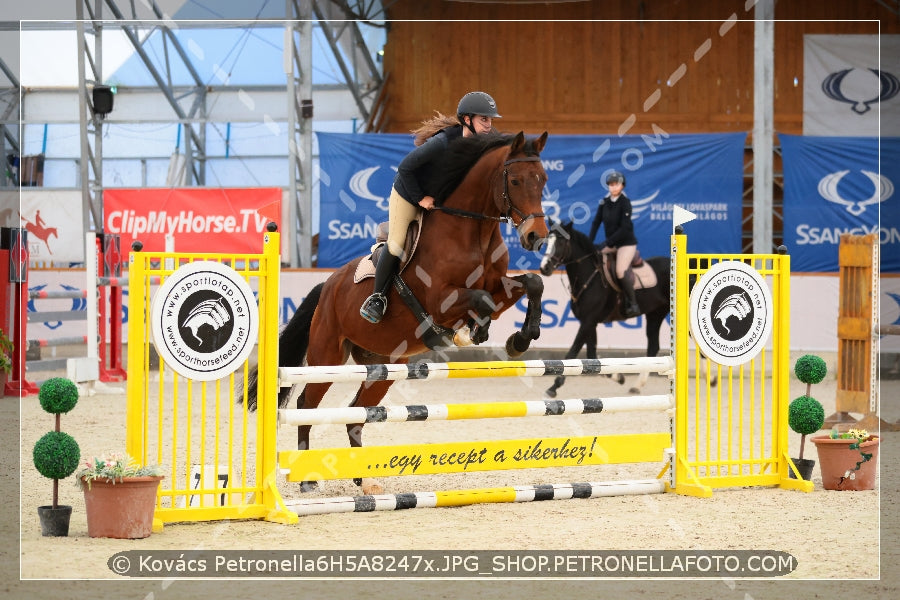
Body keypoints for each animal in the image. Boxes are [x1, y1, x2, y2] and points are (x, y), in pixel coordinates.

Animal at [244, 130, 548, 492]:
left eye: (543, 180)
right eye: (515, 180)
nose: (536, 237)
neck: (474, 233)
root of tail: (327, 286)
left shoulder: (500, 286)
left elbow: (531, 284)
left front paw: (520, 339)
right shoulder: (441, 299)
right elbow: (482, 300)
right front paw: (474, 332)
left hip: (383, 367)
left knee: (357, 413)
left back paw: (364, 481)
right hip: (327, 356)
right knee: (308, 405)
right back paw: (308, 481)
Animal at [536, 220, 672, 398]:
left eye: (561, 242)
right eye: (547, 242)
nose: (544, 268)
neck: (589, 278)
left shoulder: (588, 322)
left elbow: (572, 354)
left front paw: (554, 387)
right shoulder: (590, 323)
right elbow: (592, 356)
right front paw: (619, 377)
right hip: (655, 314)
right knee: (653, 346)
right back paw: (637, 386)